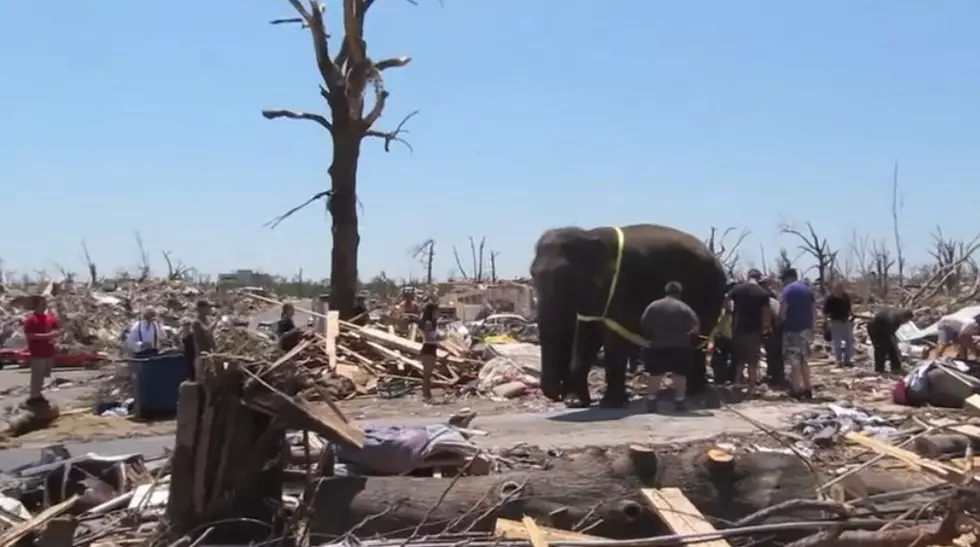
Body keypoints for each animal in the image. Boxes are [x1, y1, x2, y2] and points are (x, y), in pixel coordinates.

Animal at [528, 223, 728, 406]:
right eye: (532, 274)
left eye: (567, 279)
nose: (557, 395)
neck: (588, 234)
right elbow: (587, 335)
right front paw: (576, 402)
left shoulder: (624, 284)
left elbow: (614, 339)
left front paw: (610, 403)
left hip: (710, 291)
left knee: (698, 338)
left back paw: (694, 390)